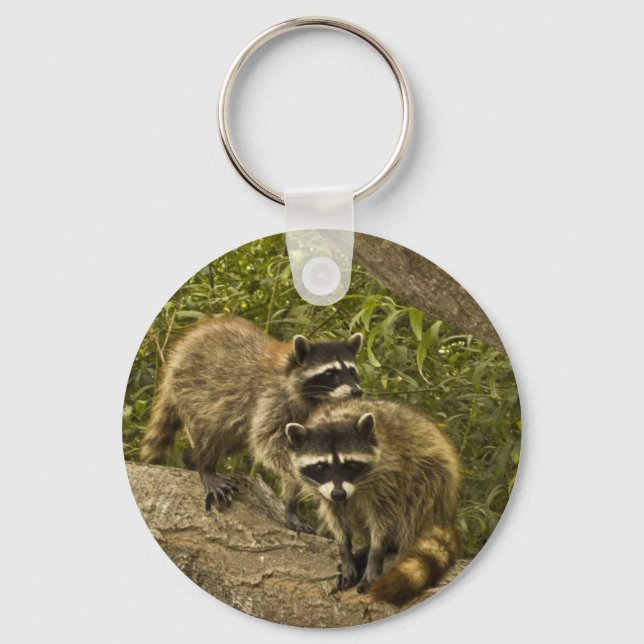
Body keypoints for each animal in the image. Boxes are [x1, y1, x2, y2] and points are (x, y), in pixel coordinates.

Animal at [140, 315, 363, 533]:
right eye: (330, 373)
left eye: (352, 371)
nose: (357, 392)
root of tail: (176, 357)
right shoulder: (272, 398)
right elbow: (270, 443)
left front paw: (292, 504)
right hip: (194, 387)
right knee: (211, 427)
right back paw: (206, 466)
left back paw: (190, 459)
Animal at [285, 398, 461, 605]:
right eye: (321, 466)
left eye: (350, 465)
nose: (339, 494)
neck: (333, 419)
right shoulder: (325, 490)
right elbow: (336, 516)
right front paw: (345, 550)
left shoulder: (388, 476)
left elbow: (383, 518)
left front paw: (376, 554)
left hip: (434, 475)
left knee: (416, 504)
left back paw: (396, 545)